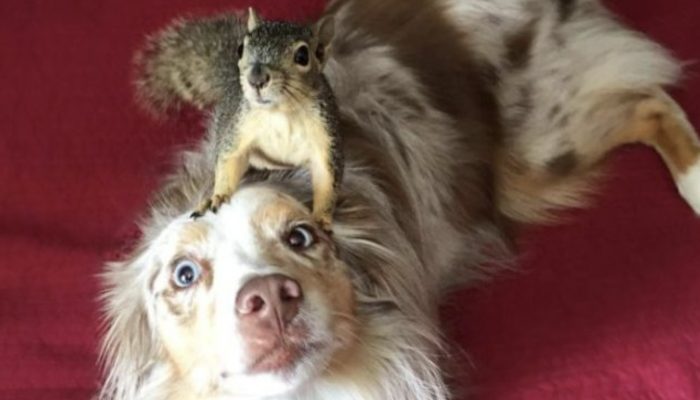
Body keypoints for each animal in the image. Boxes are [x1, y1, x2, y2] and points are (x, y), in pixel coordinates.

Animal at [190, 8, 342, 231]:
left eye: (303, 56)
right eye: (240, 49)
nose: (256, 78)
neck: (281, 112)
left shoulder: (325, 135)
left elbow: (327, 178)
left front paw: (322, 219)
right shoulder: (239, 127)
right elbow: (230, 159)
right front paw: (218, 196)